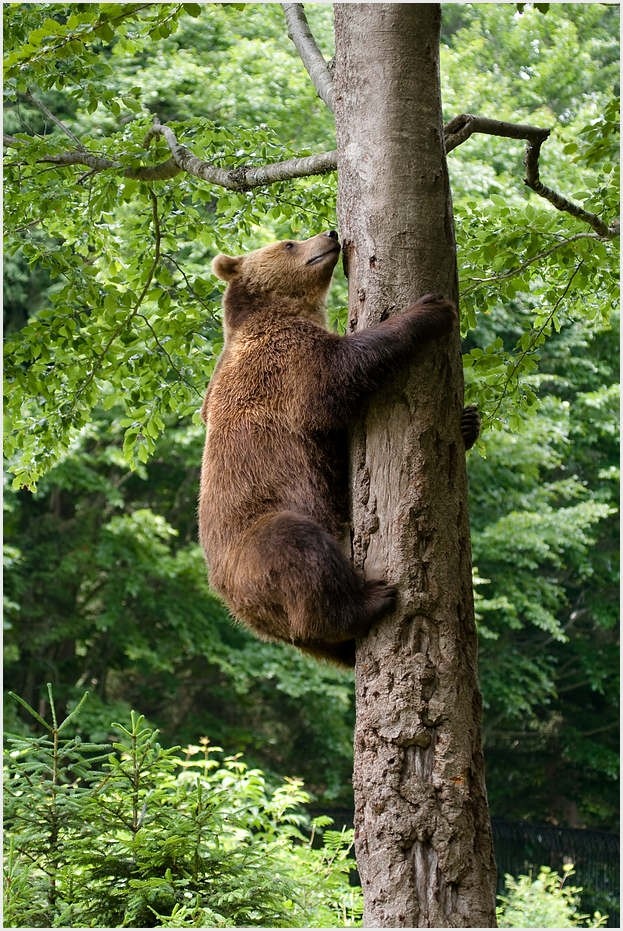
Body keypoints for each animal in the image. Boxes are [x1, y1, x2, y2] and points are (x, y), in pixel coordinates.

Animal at [200, 233, 478, 668]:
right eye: (289, 242)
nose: (329, 235)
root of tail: (239, 608)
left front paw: (467, 422)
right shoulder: (284, 362)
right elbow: (341, 370)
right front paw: (430, 310)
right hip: (256, 547)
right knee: (300, 549)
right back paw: (373, 599)